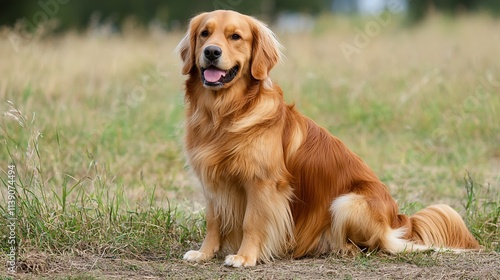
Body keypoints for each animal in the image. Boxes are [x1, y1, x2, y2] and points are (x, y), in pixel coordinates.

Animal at [178, 10, 482, 266]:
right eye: (205, 33)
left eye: (235, 37)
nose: (211, 51)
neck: (225, 115)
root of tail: (397, 220)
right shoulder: (211, 182)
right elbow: (213, 221)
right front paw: (205, 253)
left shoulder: (263, 183)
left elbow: (252, 222)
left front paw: (245, 257)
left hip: (346, 203)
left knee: (376, 244)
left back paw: (343, 248)